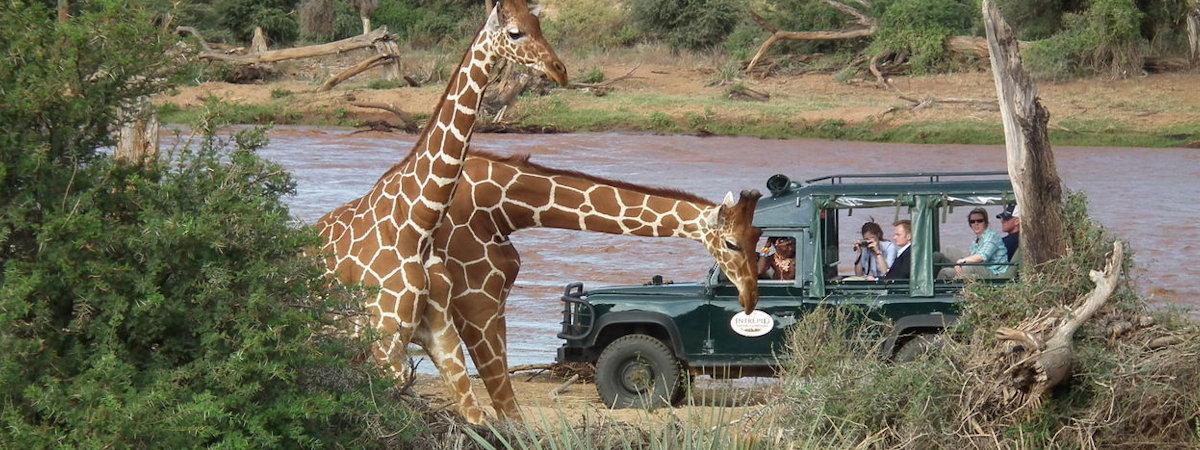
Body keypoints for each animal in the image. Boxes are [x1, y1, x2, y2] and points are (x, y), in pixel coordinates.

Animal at [316, 0, 564, 424]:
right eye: (515, 33)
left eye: (539, 25)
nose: (559, 70)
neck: (418, 224)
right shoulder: (385, 338)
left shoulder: (440, 332)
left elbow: (475, 416)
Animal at [429, 151, 758, 420]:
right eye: (731, 243)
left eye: (757, 239)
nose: (750, 297)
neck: (505, 203)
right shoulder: (474, 289)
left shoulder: (493, 290)